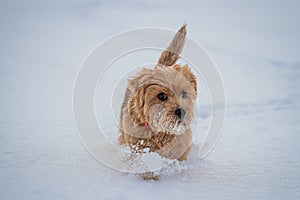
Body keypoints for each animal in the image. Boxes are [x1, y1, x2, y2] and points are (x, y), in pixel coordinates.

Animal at [118, 24, 198, 176]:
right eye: (161, 96)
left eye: (184, 94)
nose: (181, 112)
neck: (161, 132)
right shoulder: (136, 145)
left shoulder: (181, 144)